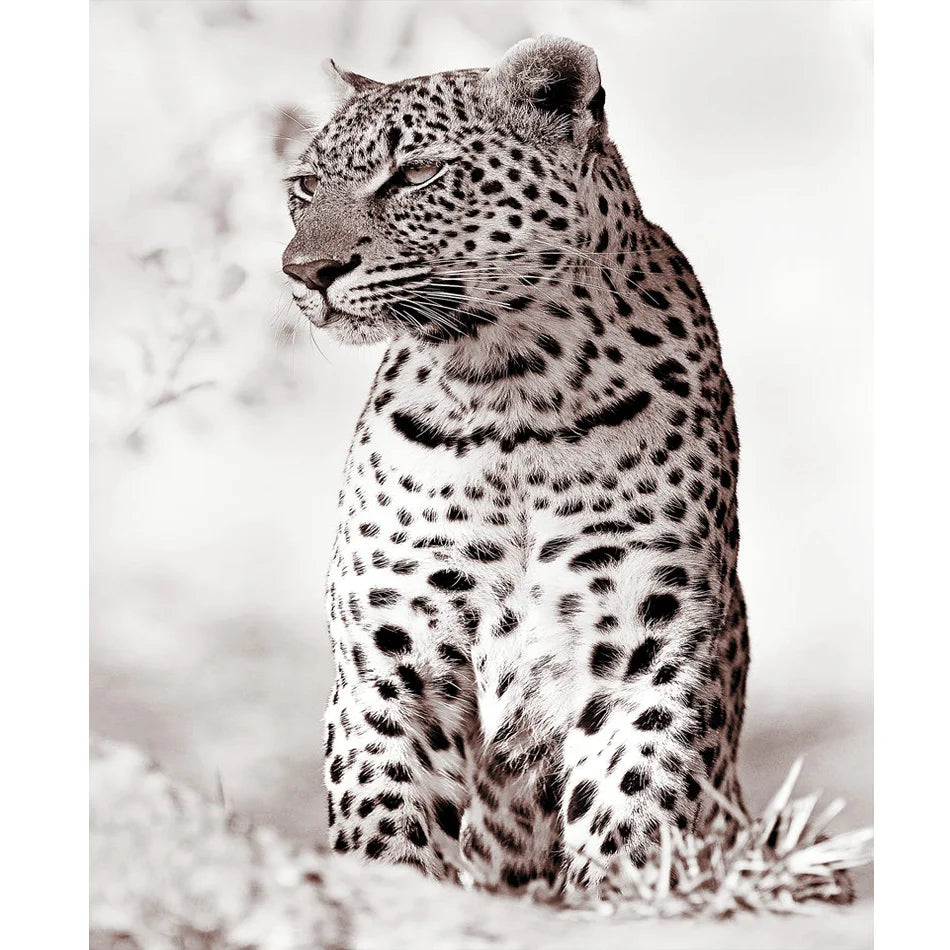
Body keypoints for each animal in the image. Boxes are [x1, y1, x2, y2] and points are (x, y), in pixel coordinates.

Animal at [281, 35, 749, 893]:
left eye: (416, 174)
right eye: (303, 188)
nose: (306, 273)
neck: (511, 390)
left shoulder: (648, 651)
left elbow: (632, 806)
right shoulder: (390, 661)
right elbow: (386, 819)